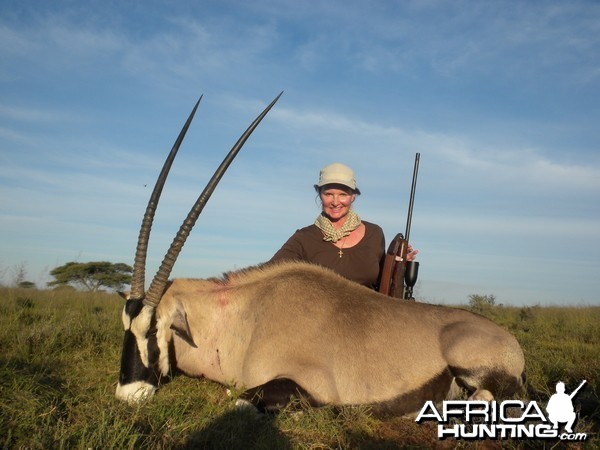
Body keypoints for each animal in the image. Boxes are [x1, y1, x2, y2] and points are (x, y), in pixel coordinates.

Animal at [117, 94, 524, 414]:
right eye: (125, 326)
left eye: (153, 330)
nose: (128, 394)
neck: (246, 316)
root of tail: (511, 343)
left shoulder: (304, 383)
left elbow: (239, 401)